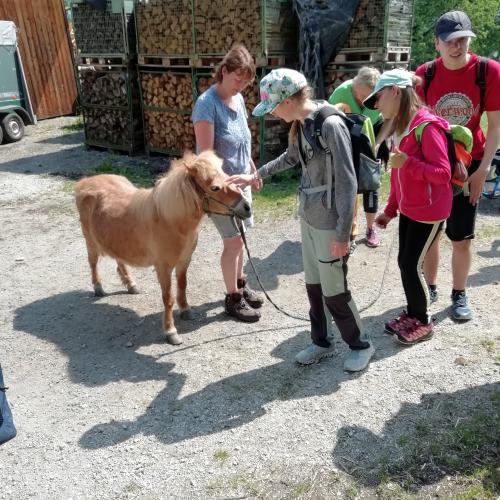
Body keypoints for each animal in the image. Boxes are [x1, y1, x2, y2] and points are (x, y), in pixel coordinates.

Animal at [73, 149, 250, 344]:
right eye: (215, 188)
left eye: (227, 176)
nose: (247, 207)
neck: (169, 220)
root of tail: (84, 182)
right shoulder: (163, 268)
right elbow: (168, 298)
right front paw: (171, 332)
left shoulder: (184, 262)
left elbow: (182, 286)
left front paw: (186, 310)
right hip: (90, 242)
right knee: (93, 263)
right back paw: (98, 288)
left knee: (120, 260)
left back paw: (131, 285)